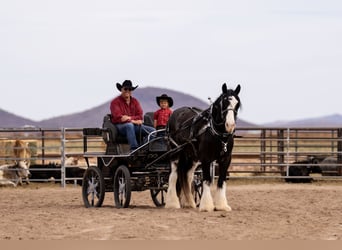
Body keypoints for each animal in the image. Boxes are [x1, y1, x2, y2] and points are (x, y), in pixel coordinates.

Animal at [165, 83, 240, 211]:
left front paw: (222, 205)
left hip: (191, 157)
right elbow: (207, 180)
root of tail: (175, 113)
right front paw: (206, 206)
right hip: (175, 153)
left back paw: (189, 202)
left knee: (188, 176)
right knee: (173, 176)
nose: (230, 125)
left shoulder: (226, 159)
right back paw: (172, 203)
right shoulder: (206, 159)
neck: (217, 134)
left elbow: (221, 180)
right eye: (224, 102)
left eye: (237, 103)